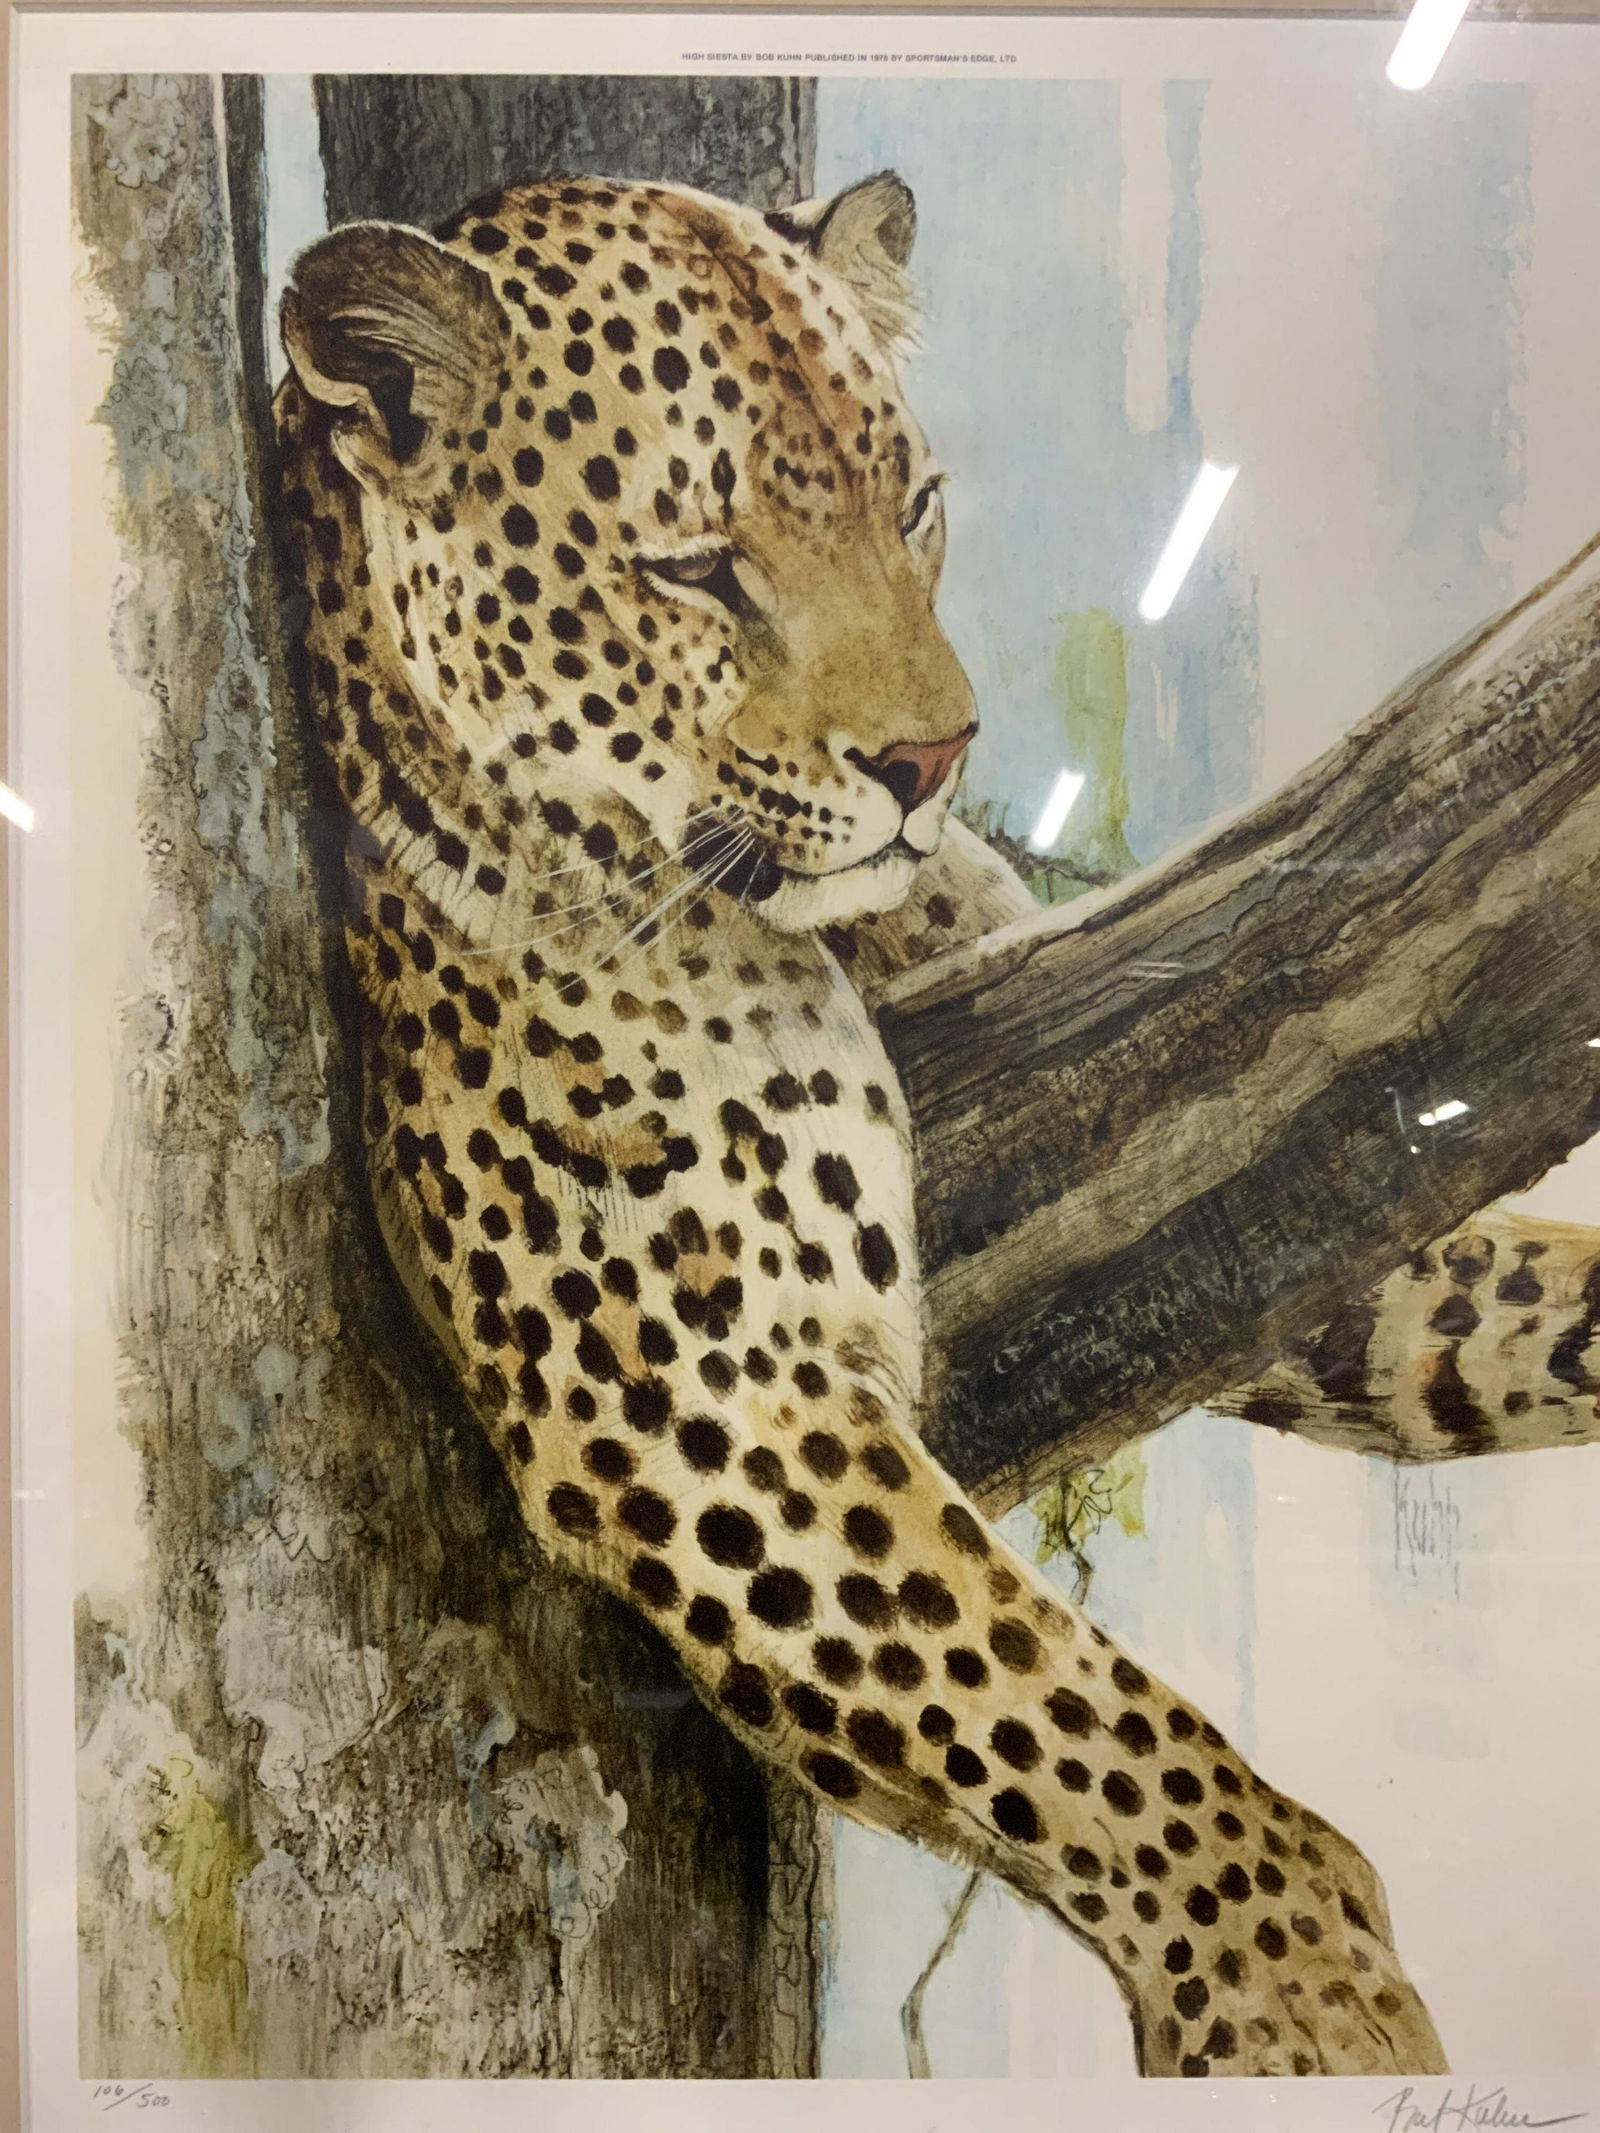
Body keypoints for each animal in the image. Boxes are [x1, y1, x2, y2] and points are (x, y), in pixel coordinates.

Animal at [271, 167, 1466, 2078]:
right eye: (697, 566)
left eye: (914, 505)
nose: (935, 761)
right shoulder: (690, 1385)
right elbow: (1058, 1711)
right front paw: (1299, 1993)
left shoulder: (1197, 1138)